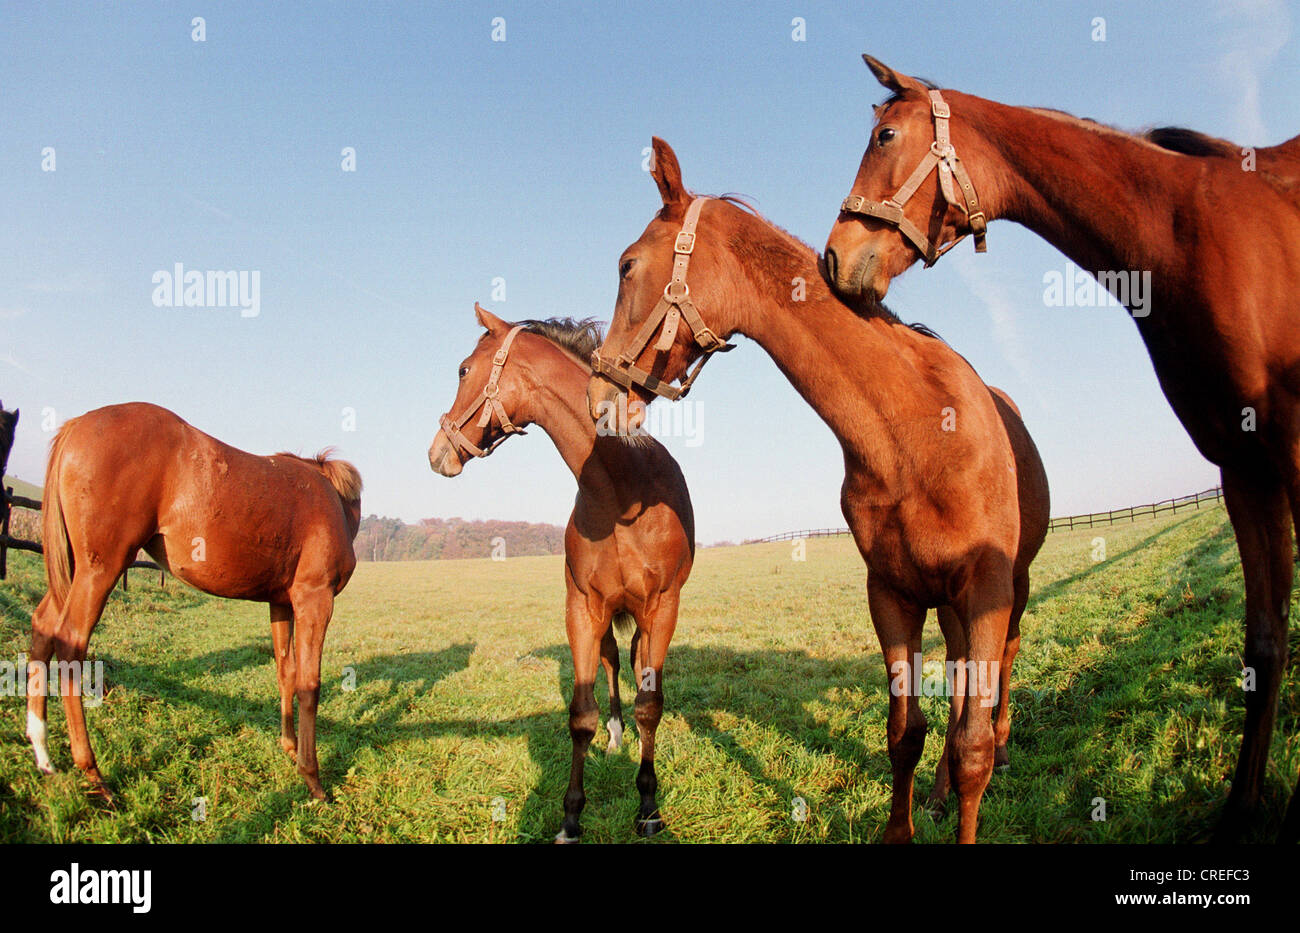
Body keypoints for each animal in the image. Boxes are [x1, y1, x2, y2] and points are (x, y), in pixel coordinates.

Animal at [25, 402, 361, 805]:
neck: (335, 503)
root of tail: (76, 426)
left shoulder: (280, 603)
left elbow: (286, 673)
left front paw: (290, 748)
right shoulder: (315, 598)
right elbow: (310, 685)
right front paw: (312, 778)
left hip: (73, 568)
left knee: (42, 627)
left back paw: (43, 755)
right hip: (100, 568)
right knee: (70, 641)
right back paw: (92, 772)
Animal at [428, 302, 696, 842]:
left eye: (464, 370)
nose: (436, 452)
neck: (623, 490)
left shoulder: (662, 607)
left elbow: (650, 704)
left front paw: (648, 805)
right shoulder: (582, 608)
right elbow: (581, 713)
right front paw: (571, 816)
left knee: (636, 666)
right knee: (613, 664)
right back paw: (615, 737)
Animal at [585, 140, 1050, 847]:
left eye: (627, 265)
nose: (599, 396)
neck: (915, 434)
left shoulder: (988, 589)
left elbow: (974, 744)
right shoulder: (891, 594)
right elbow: (905, 732)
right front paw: (902, 828)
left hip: (1008, 595)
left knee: (995, 692)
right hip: (947, 606)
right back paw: (938, 795)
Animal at [826, 56, 1300, 847]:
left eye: (886, 136)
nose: (834, 258)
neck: (1194, 230)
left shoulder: (1289, 453)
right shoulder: (1245, 466)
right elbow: (1263, 641)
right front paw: (1240, 810)